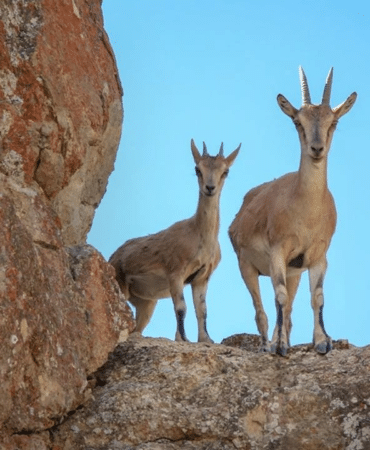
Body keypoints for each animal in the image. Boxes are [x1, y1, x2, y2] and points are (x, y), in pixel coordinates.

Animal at [110, 139, 241, 342]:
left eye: (225, 171)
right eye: (198, 169)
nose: (210, 188)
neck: (199, 236)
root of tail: (112, 257)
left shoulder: (201, 278)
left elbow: (202, 310)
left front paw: (205, 339)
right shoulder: (176, 273)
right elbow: (181, 308)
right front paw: (183, 338)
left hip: (147, 302)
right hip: (122, 285)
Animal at [228, 67, 356, 356]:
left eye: (333, 122)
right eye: (298, 122)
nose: (317, 149)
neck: (306, 212)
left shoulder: (317, 256)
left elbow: (317, 297)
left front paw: (322, 342)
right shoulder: (278, 251)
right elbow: (279, 295)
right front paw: (280, 346)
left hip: (293, 272)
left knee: (287, 313)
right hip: (246, 266)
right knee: (261, 311)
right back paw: (267, 345)